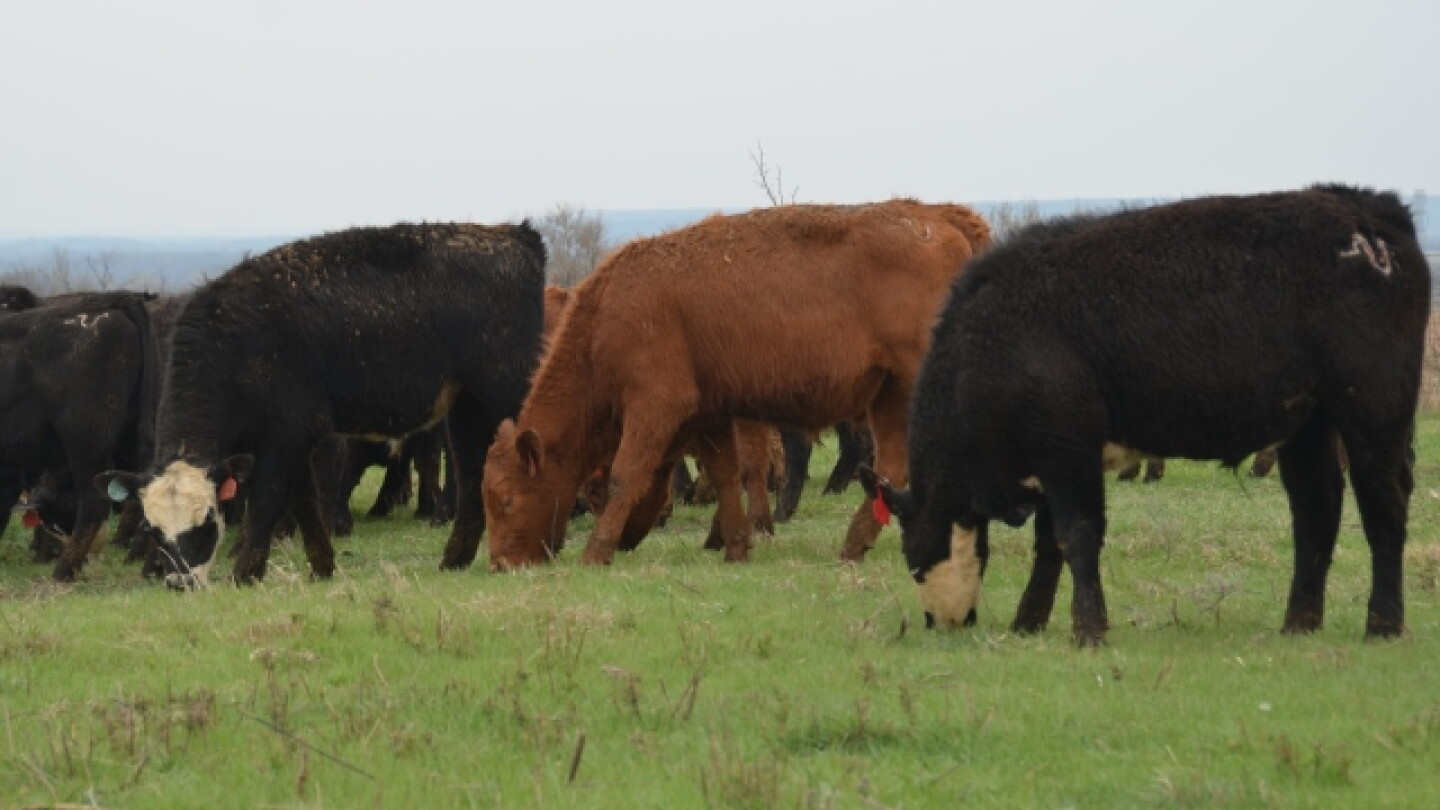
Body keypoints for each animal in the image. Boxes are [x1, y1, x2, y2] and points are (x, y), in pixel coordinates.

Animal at [97, 222, 546, 588]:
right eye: (155, 530)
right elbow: (305, 504)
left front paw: (245, 574)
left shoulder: (287, 435)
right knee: (471, 474)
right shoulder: (290, 441)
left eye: (206, 520)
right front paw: (323, 567)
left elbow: (268, 503)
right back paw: (455, 558)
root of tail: (512, 234)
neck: (232, 343)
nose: (179, 582)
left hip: (508, 390)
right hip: (467, 406)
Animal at [482, 199, 990, 569]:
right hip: (888, 393)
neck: (607, 313)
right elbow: (727, 474)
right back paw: (853, 545)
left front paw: (594, 553)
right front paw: (737, 547)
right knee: (890, 466)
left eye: (506, 499)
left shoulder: (654, 407)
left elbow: (628, 474)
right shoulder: (709, 415)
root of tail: (936, 218)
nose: (501, 564)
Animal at [863, 185, 1430, 645]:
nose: (938, 623)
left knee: (1383, 505)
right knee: (1316, 510)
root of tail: (1371, 210)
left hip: (1373, 410)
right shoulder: (1051, 460)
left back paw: (1383, 624)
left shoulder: (1068, 450)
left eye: (913, 559)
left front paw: (1088, 628)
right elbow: (1049, 545)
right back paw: (1299, 623)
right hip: (1308, 423)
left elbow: (1077, 535)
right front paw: (1030, 622)